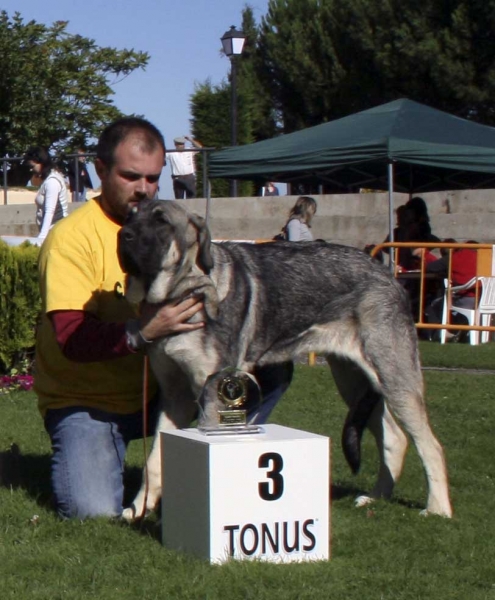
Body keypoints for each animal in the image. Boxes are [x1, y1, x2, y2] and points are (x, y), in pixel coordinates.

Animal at [117, 200, 454, 520]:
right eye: (130, 216)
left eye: (161, 221)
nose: (124, 235)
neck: (183, 290)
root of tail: (387, 273)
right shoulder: (176, 395)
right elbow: (154, 461)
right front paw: (138, 508)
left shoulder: (211, 392)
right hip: (355, 381)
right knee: (395, 438)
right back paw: (375, 497)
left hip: (394, 376)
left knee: (431, 444)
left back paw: (437, 508)